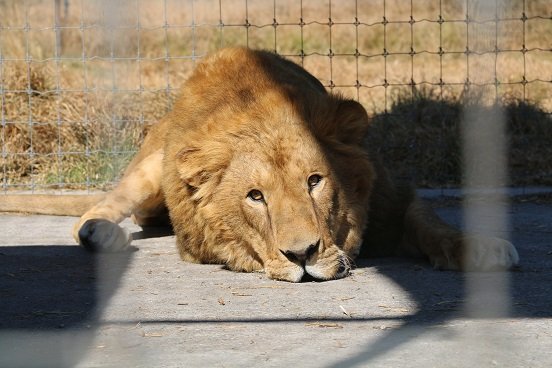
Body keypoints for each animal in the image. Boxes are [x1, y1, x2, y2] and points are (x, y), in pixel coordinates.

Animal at [0, 46, 516, 282]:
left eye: (315, 181)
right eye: (255, 196)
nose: (302, 255)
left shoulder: (395, 196)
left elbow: (433, 224)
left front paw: (483, 249)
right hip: (148, 172)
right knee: (99, 209)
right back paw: (100, 234)